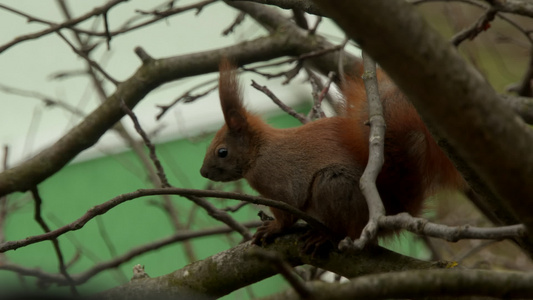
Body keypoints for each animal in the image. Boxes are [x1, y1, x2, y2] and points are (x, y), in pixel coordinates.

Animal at [200, 59, 466, 248]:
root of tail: (388, 209)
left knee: (347, 230)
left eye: (222, 152)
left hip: (332, 185)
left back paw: (324, 236)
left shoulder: (278, 183)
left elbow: (287, 211)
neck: (259, 151)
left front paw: (274, 228)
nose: (203, 172)